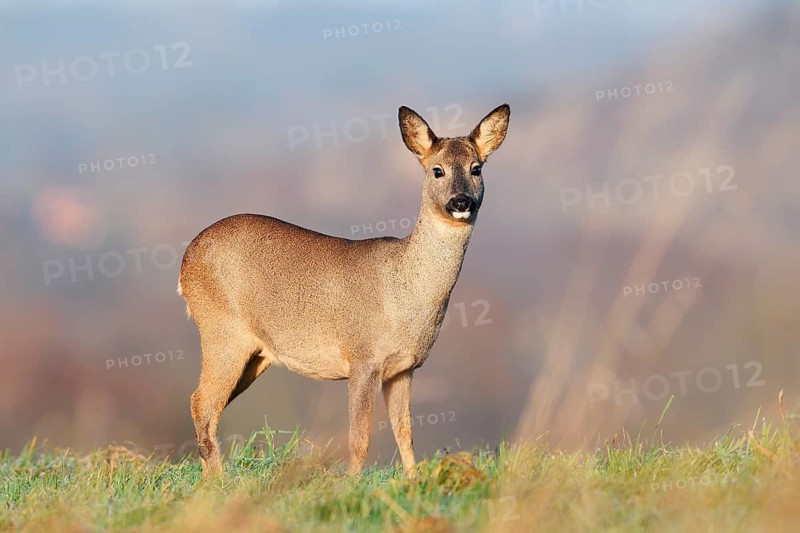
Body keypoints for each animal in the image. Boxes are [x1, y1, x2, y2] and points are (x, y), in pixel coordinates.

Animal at [177, 104, 510, 478]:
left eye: (476, 168)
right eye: (437, 170)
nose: (461, 201)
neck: (404, 290)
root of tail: (186, 259)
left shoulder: (404, 368)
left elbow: (405, 431)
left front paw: (413, 480)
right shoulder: (363, 357)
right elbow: (359, 437)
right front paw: (351, 482)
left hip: (256, 354)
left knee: (208, 406)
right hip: (222, 330)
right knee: (201, 402)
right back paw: (216, 482)